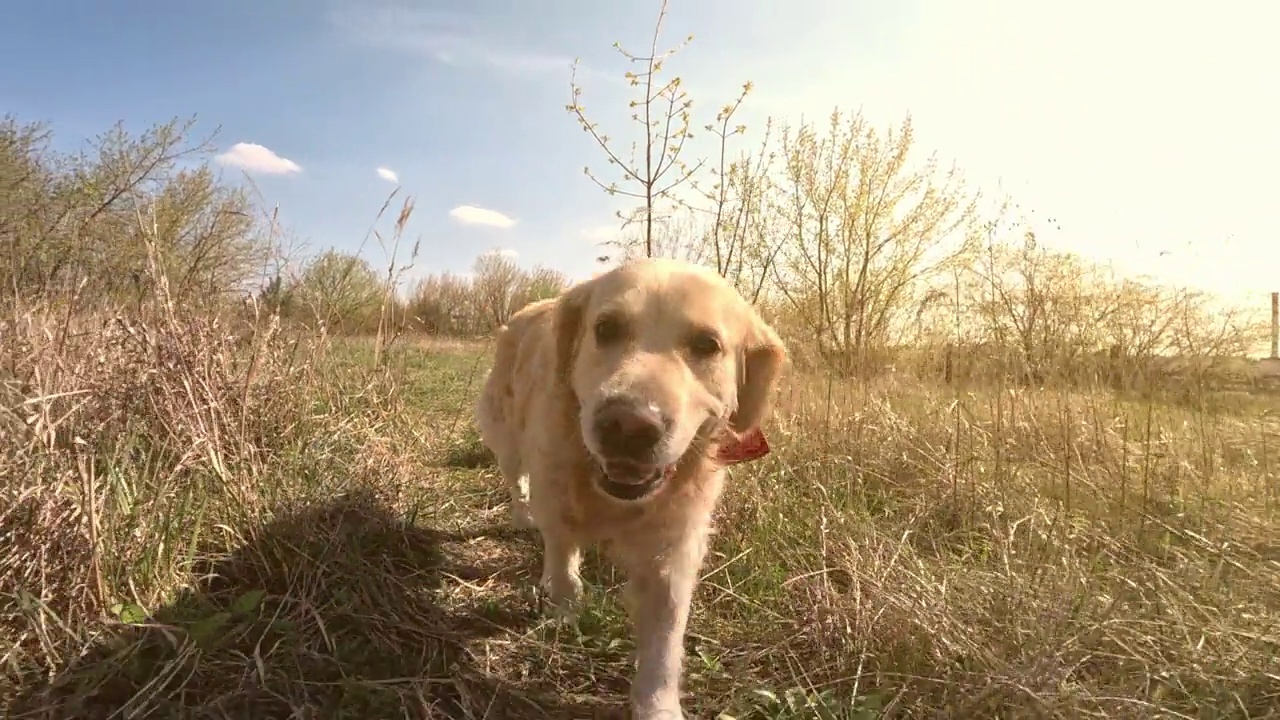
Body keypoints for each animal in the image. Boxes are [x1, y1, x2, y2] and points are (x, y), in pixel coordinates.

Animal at [476, 254, 783, 712]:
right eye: (606, 328)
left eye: (707, 344)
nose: (627, 426)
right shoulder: (556, 494)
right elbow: (561, 558)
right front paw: (564, 608)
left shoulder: (674, 548)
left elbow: (665, 638)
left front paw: (658, 706)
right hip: (507, 433)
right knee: (516, 479)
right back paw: (522, 515)